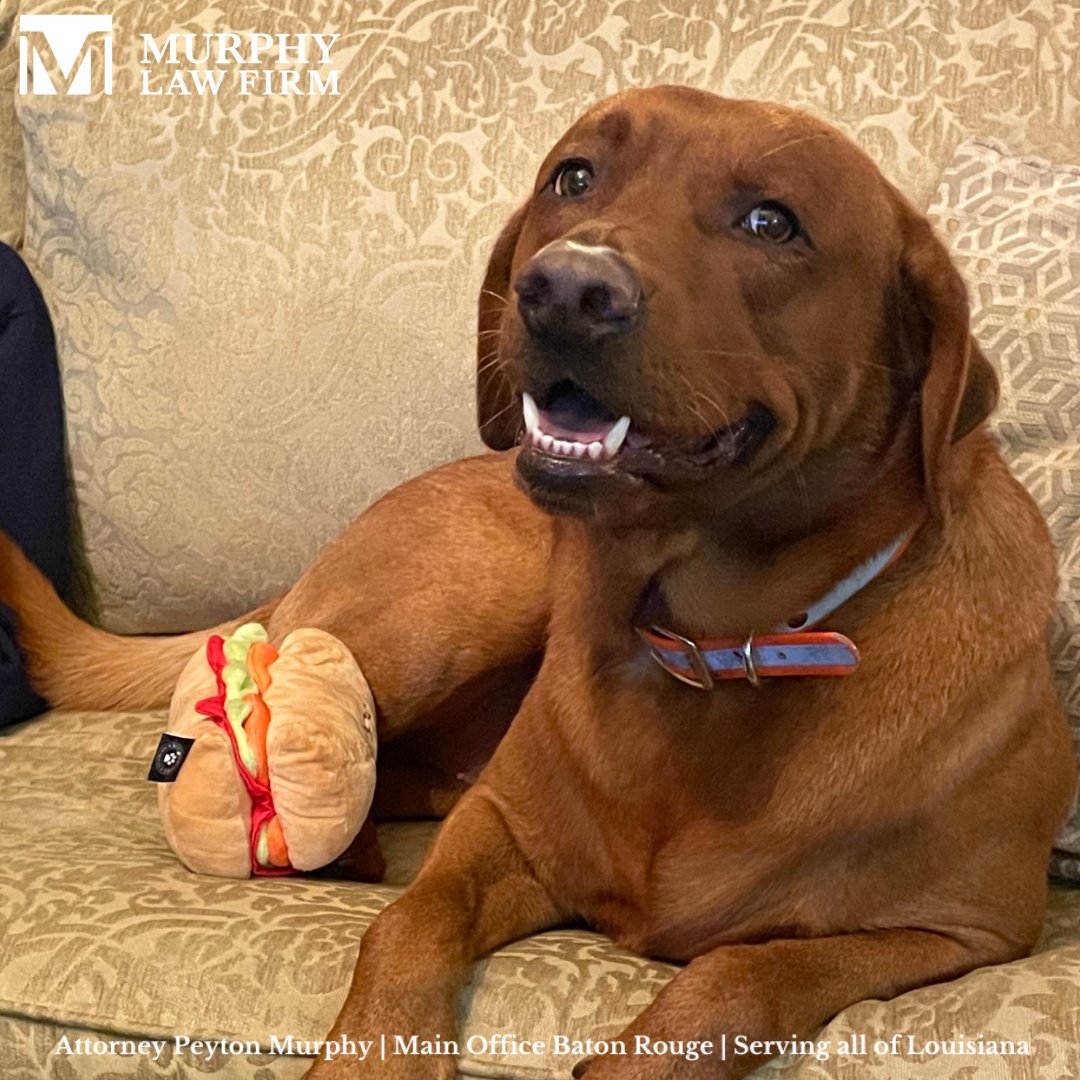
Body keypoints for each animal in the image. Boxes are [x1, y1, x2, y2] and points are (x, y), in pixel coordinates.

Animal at [4, 88, 1075, 1075]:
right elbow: (405, 925)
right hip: (442, 623)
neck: (709, 646)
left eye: (772, 222)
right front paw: (372, 1054)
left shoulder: (960, 934)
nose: (563, 288)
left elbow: (748, 971)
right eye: (575, 176)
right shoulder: (499, 828)